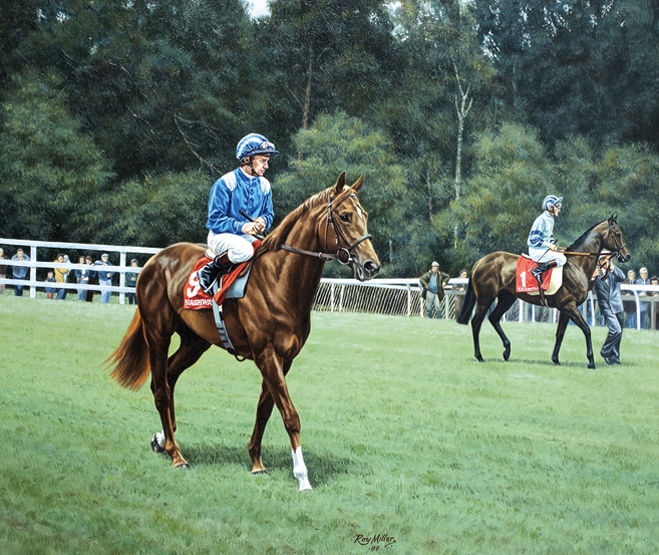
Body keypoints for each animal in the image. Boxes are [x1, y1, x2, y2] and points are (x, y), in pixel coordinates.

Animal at [105, 174, 378, 490]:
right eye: (345, 216)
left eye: (364, 215)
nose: (371, 265)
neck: (279, 281)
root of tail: (155, 260)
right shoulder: (266, 355)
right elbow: (290, 415)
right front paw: (302, 477)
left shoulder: (284, 359)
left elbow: (265, 410)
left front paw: (256, 462)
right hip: (157, 332)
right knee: (160, 388)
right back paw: (176, 455)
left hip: (195, 342)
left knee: (169, 377)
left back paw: (163, 439)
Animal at [458, 216, 636, 370]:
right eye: (618, 234)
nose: (627, 256)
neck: (575, 266)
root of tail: (480, 261)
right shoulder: (569, 306)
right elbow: (586, 329)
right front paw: (591, 361)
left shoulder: (565, 308)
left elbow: (560, 334)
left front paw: (556, 359)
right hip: (485, 298)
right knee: (476, 322)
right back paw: (479, 356)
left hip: (507, 298)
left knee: (494, 318)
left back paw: (507, 351)